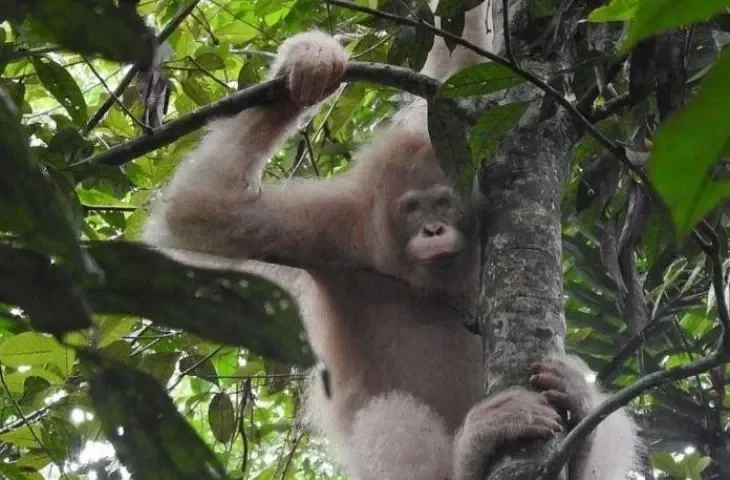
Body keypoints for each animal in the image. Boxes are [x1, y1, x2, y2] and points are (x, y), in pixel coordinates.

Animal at [142, 2, 640, 478]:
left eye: (443, 204)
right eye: (413, 209)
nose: (433, 230)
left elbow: (456, 68)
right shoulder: (332, 230)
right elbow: (202, 209)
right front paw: (309, 62)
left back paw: (580, 430)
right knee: (391, 414)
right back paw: (472, 451)